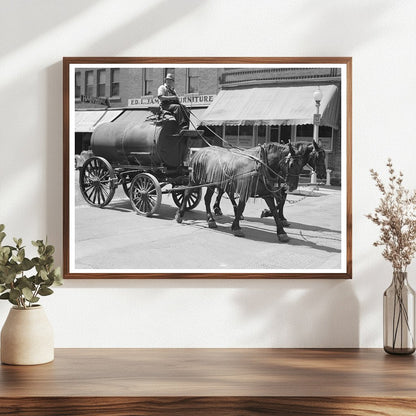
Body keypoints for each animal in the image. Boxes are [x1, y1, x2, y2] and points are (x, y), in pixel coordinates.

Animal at [174, 142, 304, 242]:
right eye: (291, 164)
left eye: (301, 166)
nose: (292, 187)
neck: (261, 164)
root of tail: (199, 151)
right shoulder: (244, 190)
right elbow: (241, 207)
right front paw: (236, 227)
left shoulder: (266, 193)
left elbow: (274, 211)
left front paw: (281, 232)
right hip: (194, 179)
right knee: (187, 193)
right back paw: (180, 214)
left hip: (211, 183)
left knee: (207, 199)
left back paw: (210, 220)